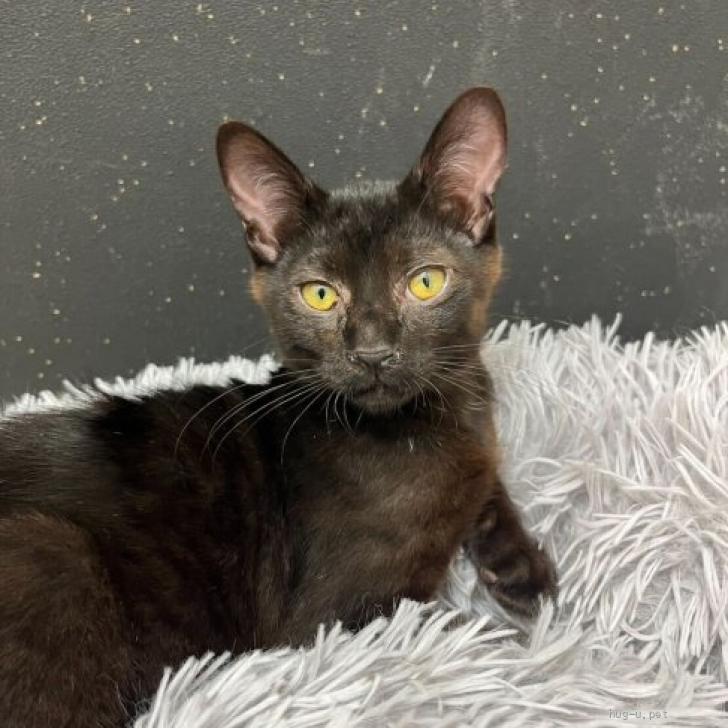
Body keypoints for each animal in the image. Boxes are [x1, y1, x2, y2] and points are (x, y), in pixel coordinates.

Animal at [0, 87, 557, 727]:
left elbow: (490, 481)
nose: (372, 353)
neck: (428, 425)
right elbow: (450, 637)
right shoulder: (338, 615)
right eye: (320, 295)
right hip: (51, 551)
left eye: (424, 282)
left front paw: (523, 571)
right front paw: (525, 655)